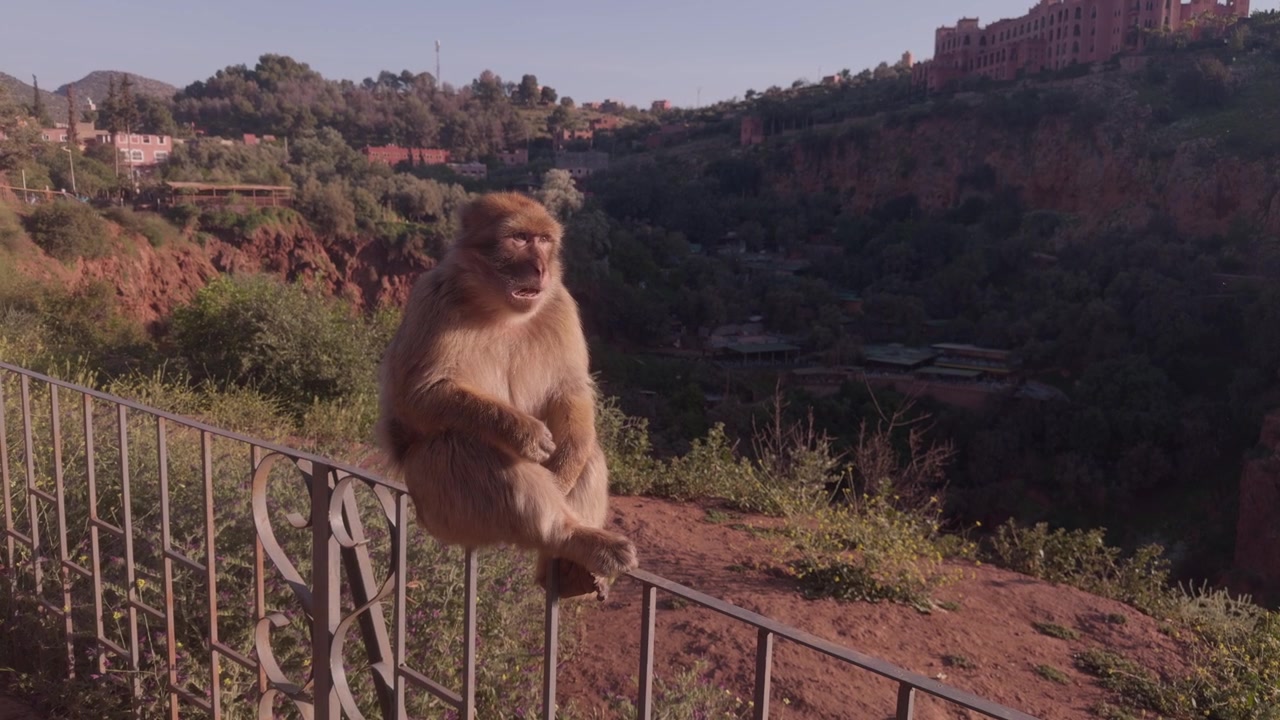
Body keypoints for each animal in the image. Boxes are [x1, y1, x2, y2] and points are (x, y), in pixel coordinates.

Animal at [375, 191, 638, 600]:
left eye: (544, 240)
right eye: (519, 239)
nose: (540, 268)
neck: (499, 309)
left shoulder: (560, 303)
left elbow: (570, 388)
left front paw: (565, 463)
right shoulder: (432, 297)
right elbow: (416, 395)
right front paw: (521, 431)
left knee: (586, 449)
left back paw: (567, 565)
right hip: (440, 511)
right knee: (463, 449)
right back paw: (571, 536)